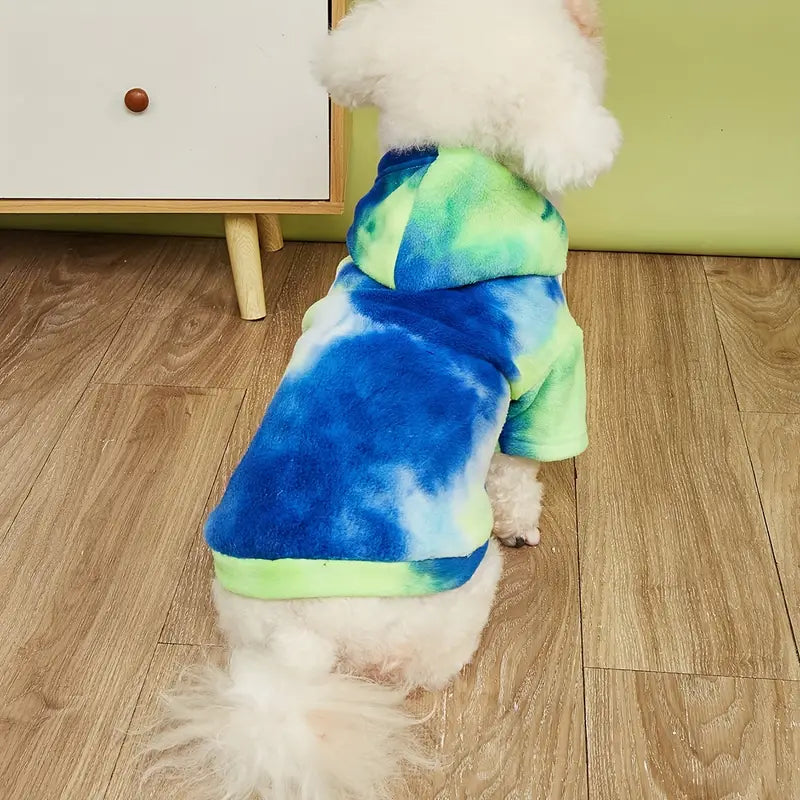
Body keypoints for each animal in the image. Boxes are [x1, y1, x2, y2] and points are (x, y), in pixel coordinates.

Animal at [152, 1, 624, 800]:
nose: (597, 16)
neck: (446, 180)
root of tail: (302, 646)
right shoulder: (549, 372)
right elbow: (519, 474)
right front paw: (524, 523)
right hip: (455, 597)